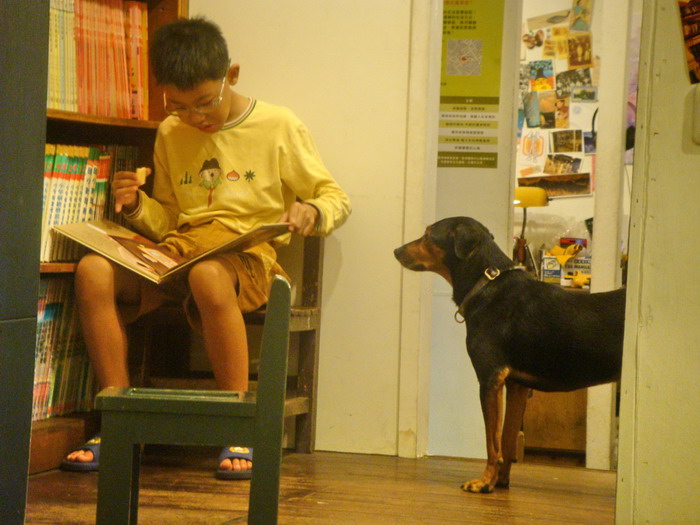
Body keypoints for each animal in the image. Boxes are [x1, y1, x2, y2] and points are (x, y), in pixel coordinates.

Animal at [394, 216, 625, 493]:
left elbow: (491, 442)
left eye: (429, 235)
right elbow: (506, 438)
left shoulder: (490, 379)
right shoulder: (516, 385)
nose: (396, 251)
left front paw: (484, 482)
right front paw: (500, 482)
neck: (485, 285)